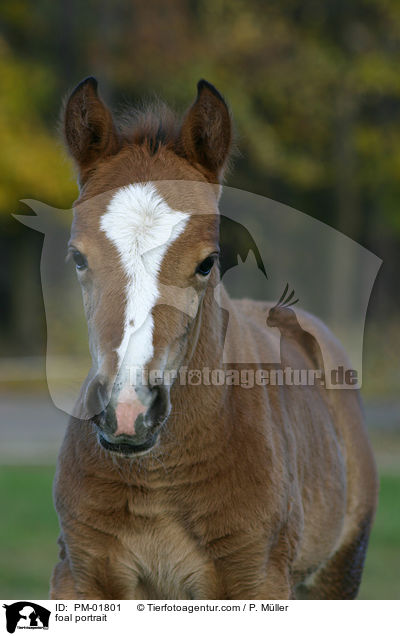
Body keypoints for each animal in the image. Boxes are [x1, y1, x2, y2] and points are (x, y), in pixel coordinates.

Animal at [50, 77, 378, 600]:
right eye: (78, 257)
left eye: (207, 262)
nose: (128, 411)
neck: (160, 487)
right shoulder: (80, 576)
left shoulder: (257, 581)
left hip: (338, 574)